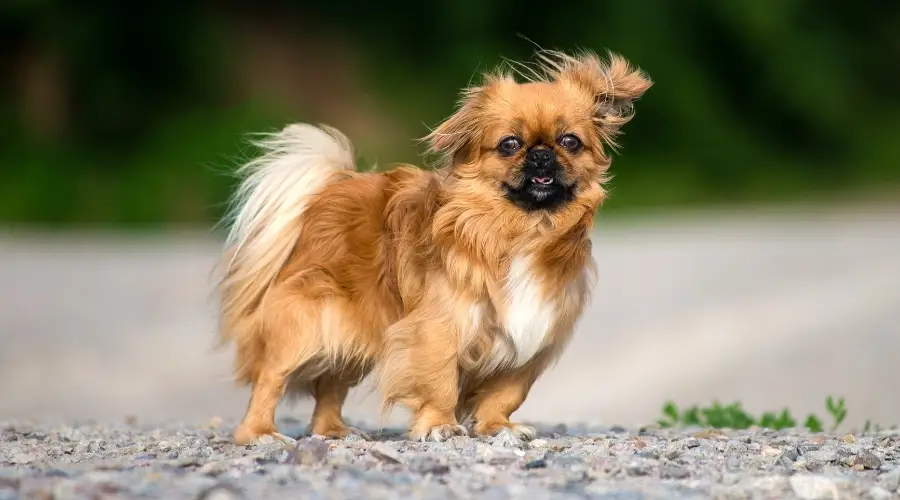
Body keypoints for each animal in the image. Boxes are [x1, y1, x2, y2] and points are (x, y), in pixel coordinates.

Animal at [214, 48, 652, 444]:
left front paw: (498, 427)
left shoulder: (530, 339)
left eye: (570, 142)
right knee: (270, 379)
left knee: (330, 387)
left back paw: (334, 432)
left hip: (352, 337)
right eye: (510, 144)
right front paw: (440, 426)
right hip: (306, 326)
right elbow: (440, 382)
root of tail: (327, 193)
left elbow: (505, 394)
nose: (542, 156)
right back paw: (260, 434)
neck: (522, 229)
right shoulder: (438, 329)